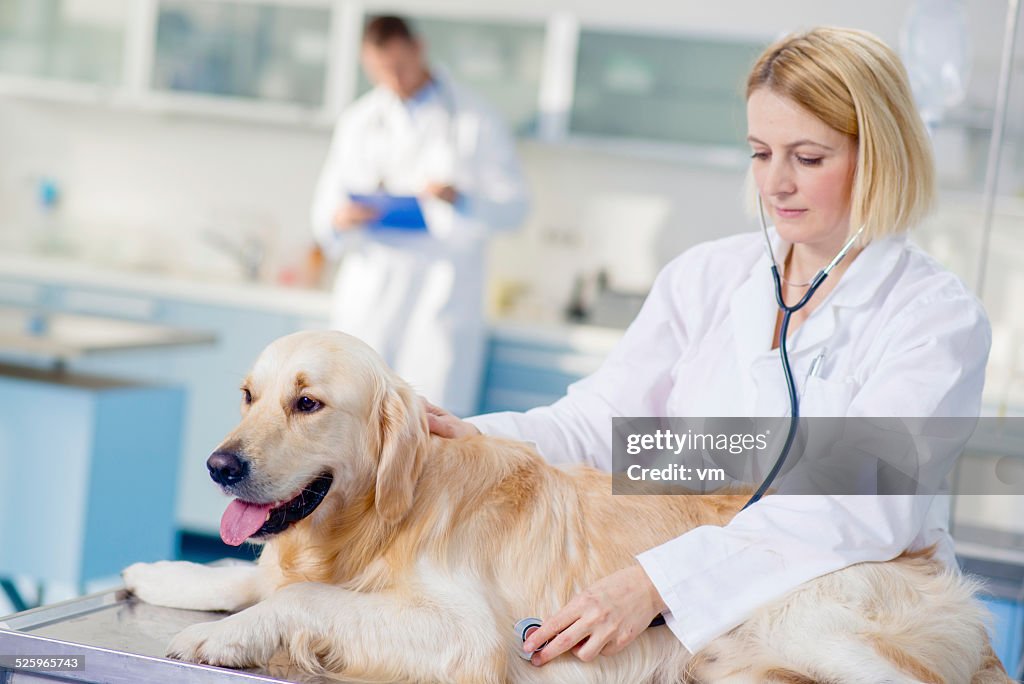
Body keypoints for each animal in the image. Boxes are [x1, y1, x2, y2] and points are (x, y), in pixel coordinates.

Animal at [123, 327, 1011, 679]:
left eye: (307, 404)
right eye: (248, 394)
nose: (219, 466)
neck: (386, 516)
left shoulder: (467, 636)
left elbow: (303, 596)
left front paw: (228, 636)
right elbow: (253, 576)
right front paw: (165, 574)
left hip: (810, 623)